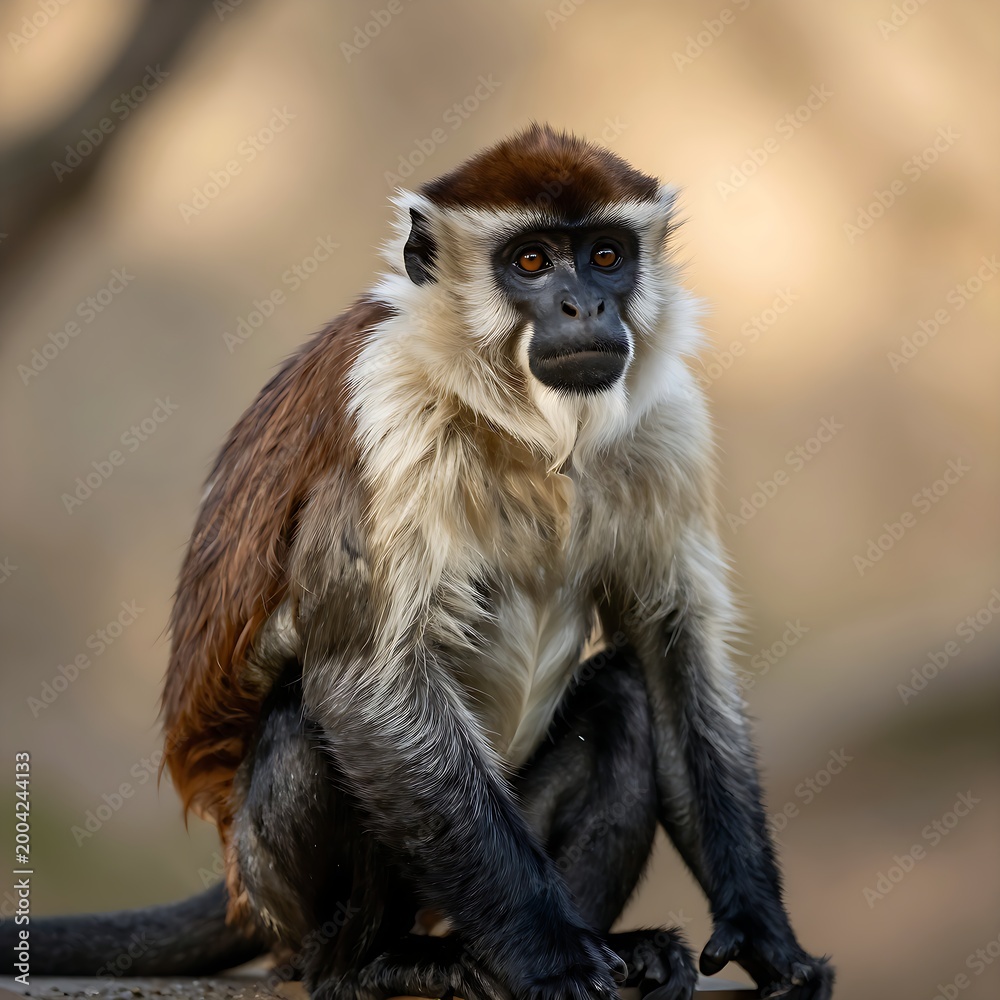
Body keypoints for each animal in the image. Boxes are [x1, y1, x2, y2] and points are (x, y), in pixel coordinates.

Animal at [2, 125, 833, 1000]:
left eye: (606, 255)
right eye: (531, 261)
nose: (587, 306)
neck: (529, 428)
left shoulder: (665, 418)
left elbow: (673, 656)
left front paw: (765, 936)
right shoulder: (386, 412)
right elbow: (368, 688)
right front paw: (554, 955)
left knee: (625, 699)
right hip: (282, 885)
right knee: (312, 717)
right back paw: (370, 965)